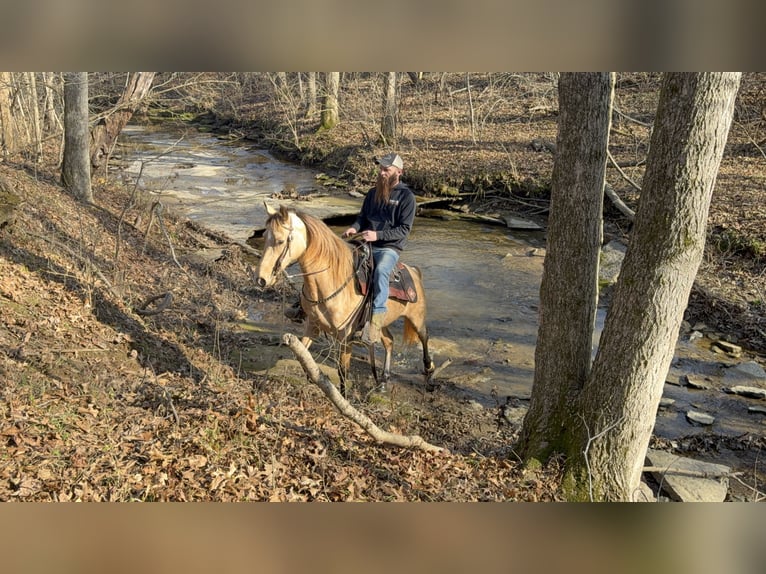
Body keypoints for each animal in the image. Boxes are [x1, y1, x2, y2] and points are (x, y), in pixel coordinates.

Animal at [255, 203, 435, 396]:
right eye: (264, 236)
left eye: (280, 241)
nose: (261, 279)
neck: (331, 281)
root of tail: (414, 272)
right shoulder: (313, 325)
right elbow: (302, 354)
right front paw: (313, 379)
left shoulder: (344, 337)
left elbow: (343, 371)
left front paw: (343, 396)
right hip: (380, 323)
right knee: (389, 341)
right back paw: (383, 382)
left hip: (416, 317)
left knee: (424, 337)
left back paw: (429, 372)